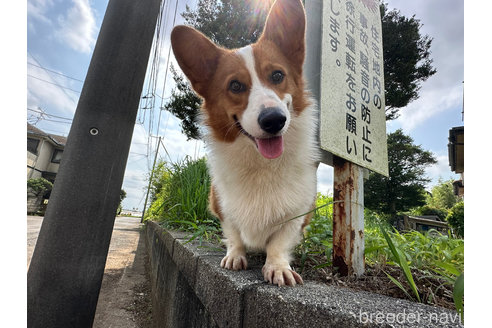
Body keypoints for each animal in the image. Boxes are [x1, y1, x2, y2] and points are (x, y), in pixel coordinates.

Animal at [172, 0, 320, 286]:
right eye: (236, 85)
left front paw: (278, 267)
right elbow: (234, 234)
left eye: (277, 75)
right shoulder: (221, 206)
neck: (260, 163)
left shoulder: (297, 214)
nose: (274, 120)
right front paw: (234, 255)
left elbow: (279, 242)